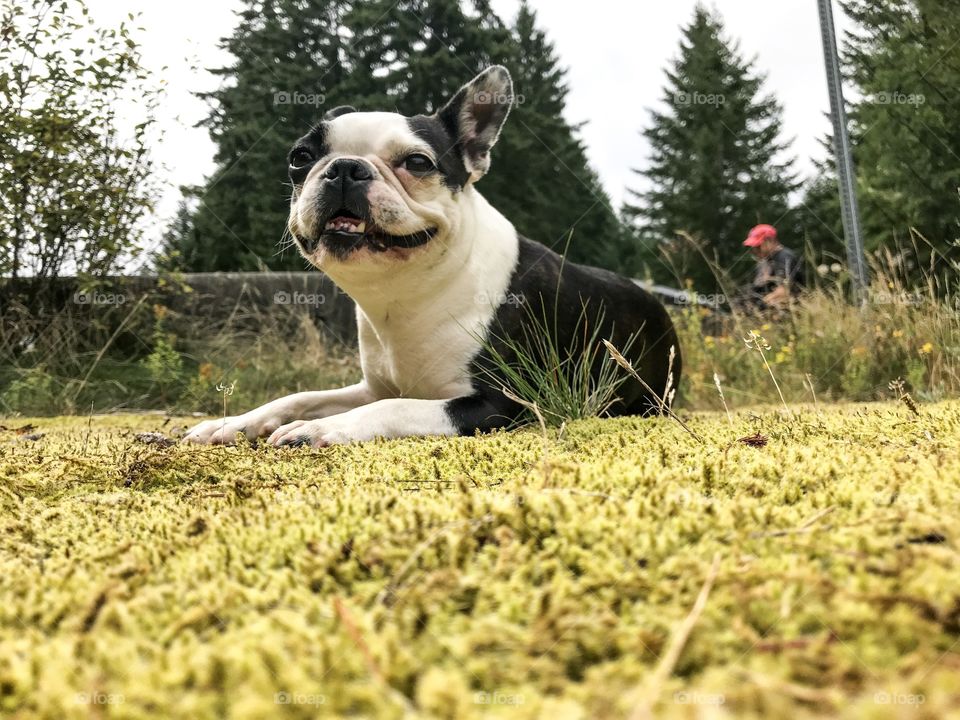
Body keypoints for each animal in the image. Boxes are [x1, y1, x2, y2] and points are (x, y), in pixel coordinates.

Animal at [184, 69, 680, 450]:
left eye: (418, 163)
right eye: (299, 157)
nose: (344, 168)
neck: (406, 293)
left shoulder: (504, 403)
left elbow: (394, 405)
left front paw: (323, 428)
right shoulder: (369, 387)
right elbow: (298, 396)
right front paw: (232, 423)